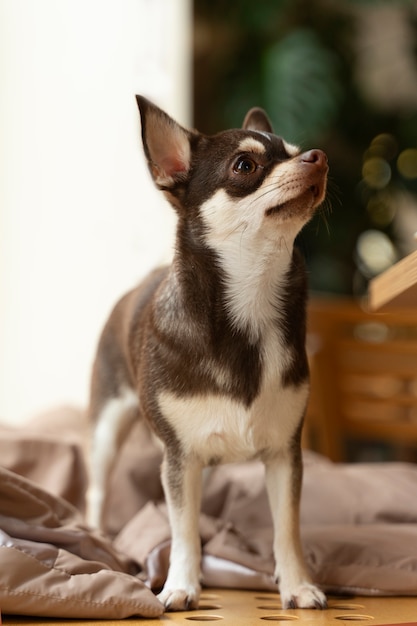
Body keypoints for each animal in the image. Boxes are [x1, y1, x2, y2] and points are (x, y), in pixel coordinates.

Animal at [87, 95, 328, 608]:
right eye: (245, 165)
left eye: (294, 150)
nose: (317, 157)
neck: (249, 306)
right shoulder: (181, 459)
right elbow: (181, 530)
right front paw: (180, 584)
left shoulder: (283, 456)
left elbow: (287, 527)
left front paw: (296, 585)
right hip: (106, 429)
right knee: (97, 489)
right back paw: (96, 534)